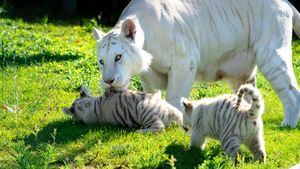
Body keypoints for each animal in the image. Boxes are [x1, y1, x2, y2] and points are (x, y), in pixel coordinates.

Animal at [92, 0, 300, 127]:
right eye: (101, 61)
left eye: (118, 57)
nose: (108, 81)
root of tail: (284, 2)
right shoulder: (148, 77)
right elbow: (150, 96)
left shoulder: (185, 62)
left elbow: (174, 96)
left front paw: (175, 121)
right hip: (240, 76)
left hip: (271, 54)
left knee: (291, 91)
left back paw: (288, 124)